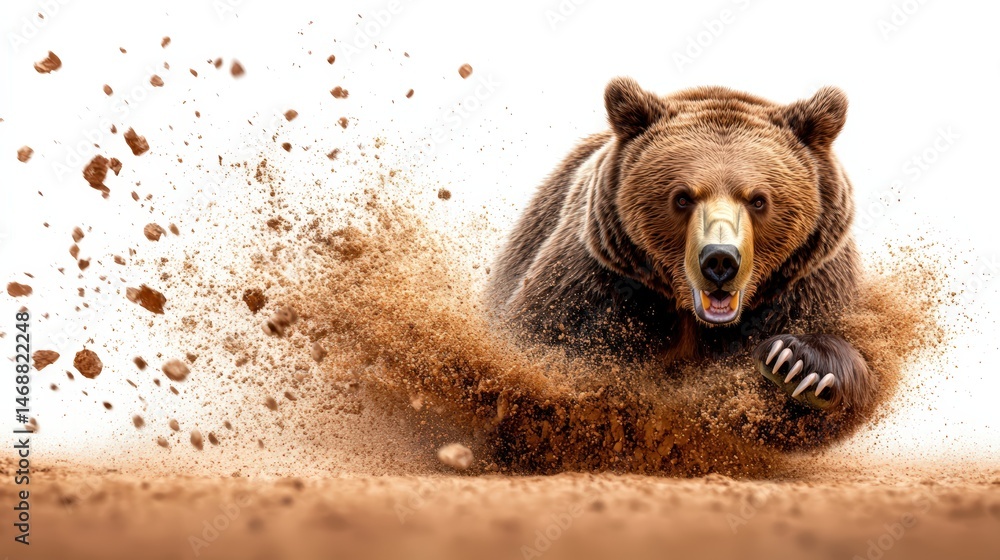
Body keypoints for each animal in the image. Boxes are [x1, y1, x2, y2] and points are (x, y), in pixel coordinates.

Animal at [488, 77, 876, 415]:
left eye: (758, 200)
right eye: (682, 197)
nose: (720, 260)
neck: (694, 317)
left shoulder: (809, 278)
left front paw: (796, 364)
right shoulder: (600, 280)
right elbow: (546, 338)